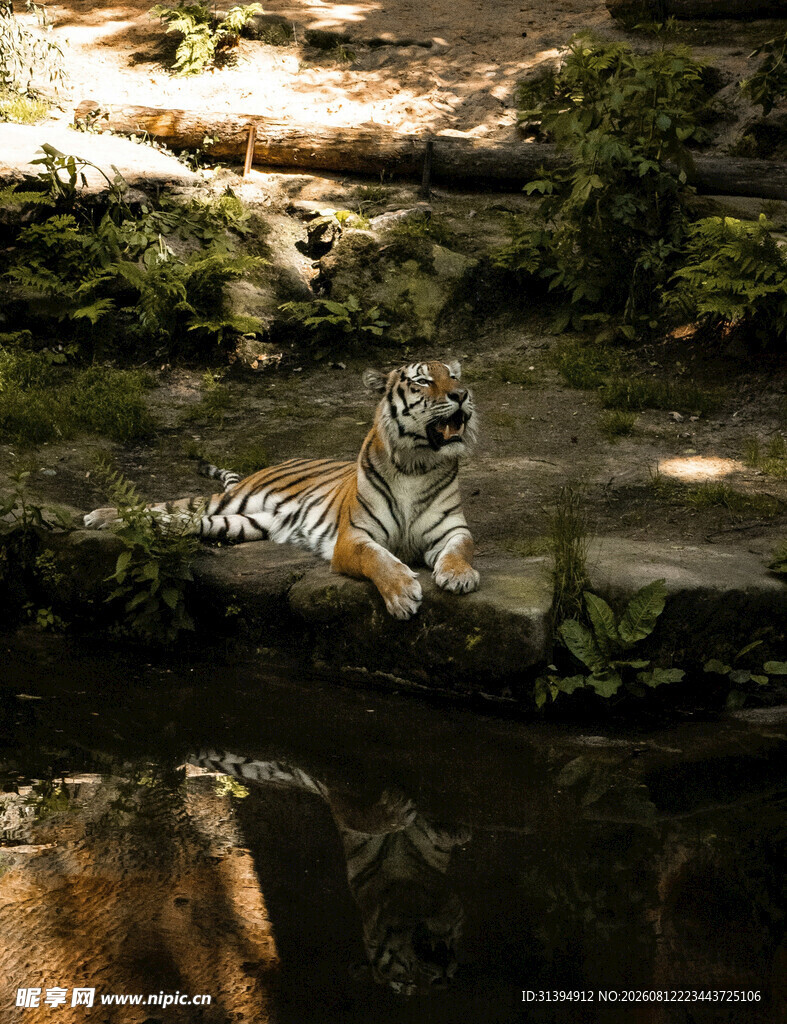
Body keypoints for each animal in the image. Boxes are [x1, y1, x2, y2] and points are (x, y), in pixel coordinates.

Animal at [84, 359, 479, 620]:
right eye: (423, 381)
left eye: (454, 376)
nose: (462, 394)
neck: (417, 463)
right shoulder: (354, 537)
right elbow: (378, 559)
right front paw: (402, 594)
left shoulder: (452, 529)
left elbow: (461, 549)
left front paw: (459, 576)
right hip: (228, 500)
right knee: (171, 505)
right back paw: (100, 516)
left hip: (240, 523)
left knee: (177, 521)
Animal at [191, 750, 469, 995]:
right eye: (406, 981)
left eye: (451, 978)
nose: (442, 981)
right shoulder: (341, 806)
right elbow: (354, 814)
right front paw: (395, 811)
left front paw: (454, 831)